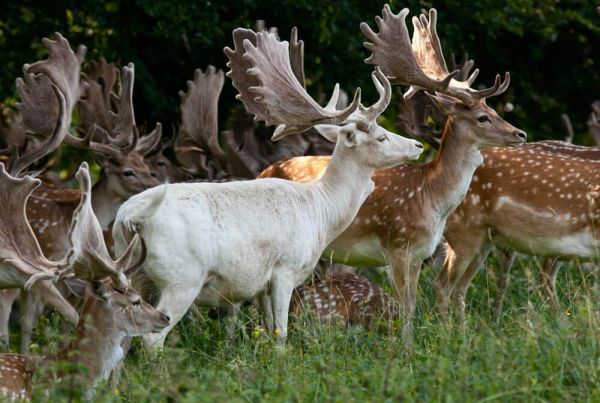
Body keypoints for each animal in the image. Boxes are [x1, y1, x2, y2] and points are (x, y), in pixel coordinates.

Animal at [111, 26, 422, 354]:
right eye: (381, 136)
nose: (418, 146)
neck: (322, 212)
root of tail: (128, 218)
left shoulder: (261, 285)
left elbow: (267, 330)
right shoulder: (285, 269)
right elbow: (281, 334)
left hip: (134, 274)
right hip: (181, 278)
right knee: (152, 338)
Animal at [258, 3, 524, 348]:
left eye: (494, 111)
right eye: (483, 117)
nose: (519, 133)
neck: (431, 196)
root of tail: (262, 170)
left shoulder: (421, 254)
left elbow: (414, 300)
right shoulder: (397, 245)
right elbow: (406, 304)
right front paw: (406, 349)